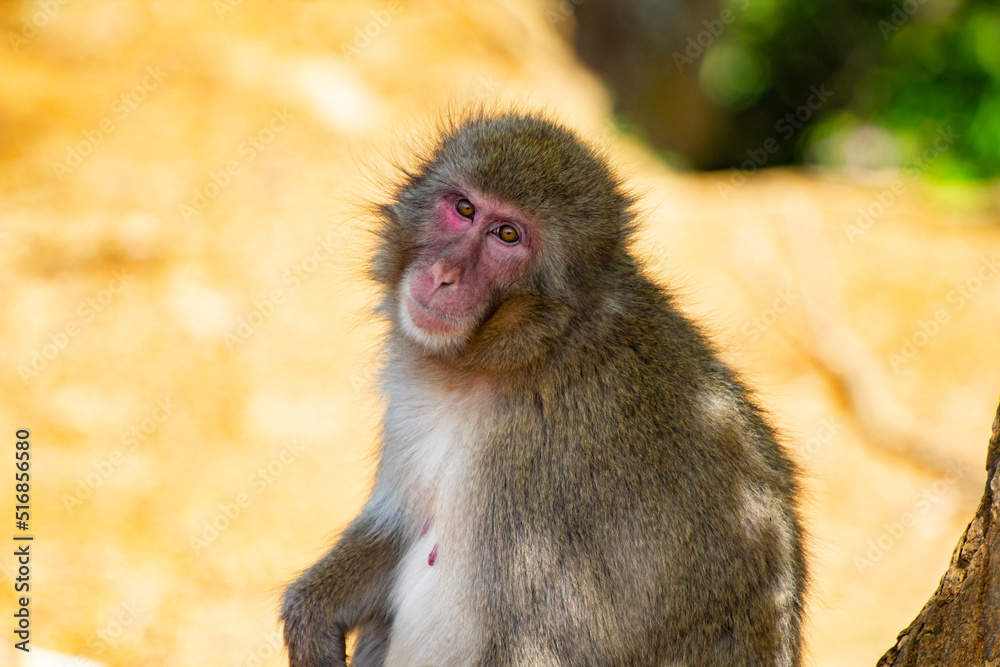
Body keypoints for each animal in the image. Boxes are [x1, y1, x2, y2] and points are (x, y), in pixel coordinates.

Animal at [281, 112, 806, 666]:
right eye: (464, 209)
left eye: (507, 235)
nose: (443, 275)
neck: (519, 356)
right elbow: (400, 528)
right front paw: (312, 609)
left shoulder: (542, 476)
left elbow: (541, 645)